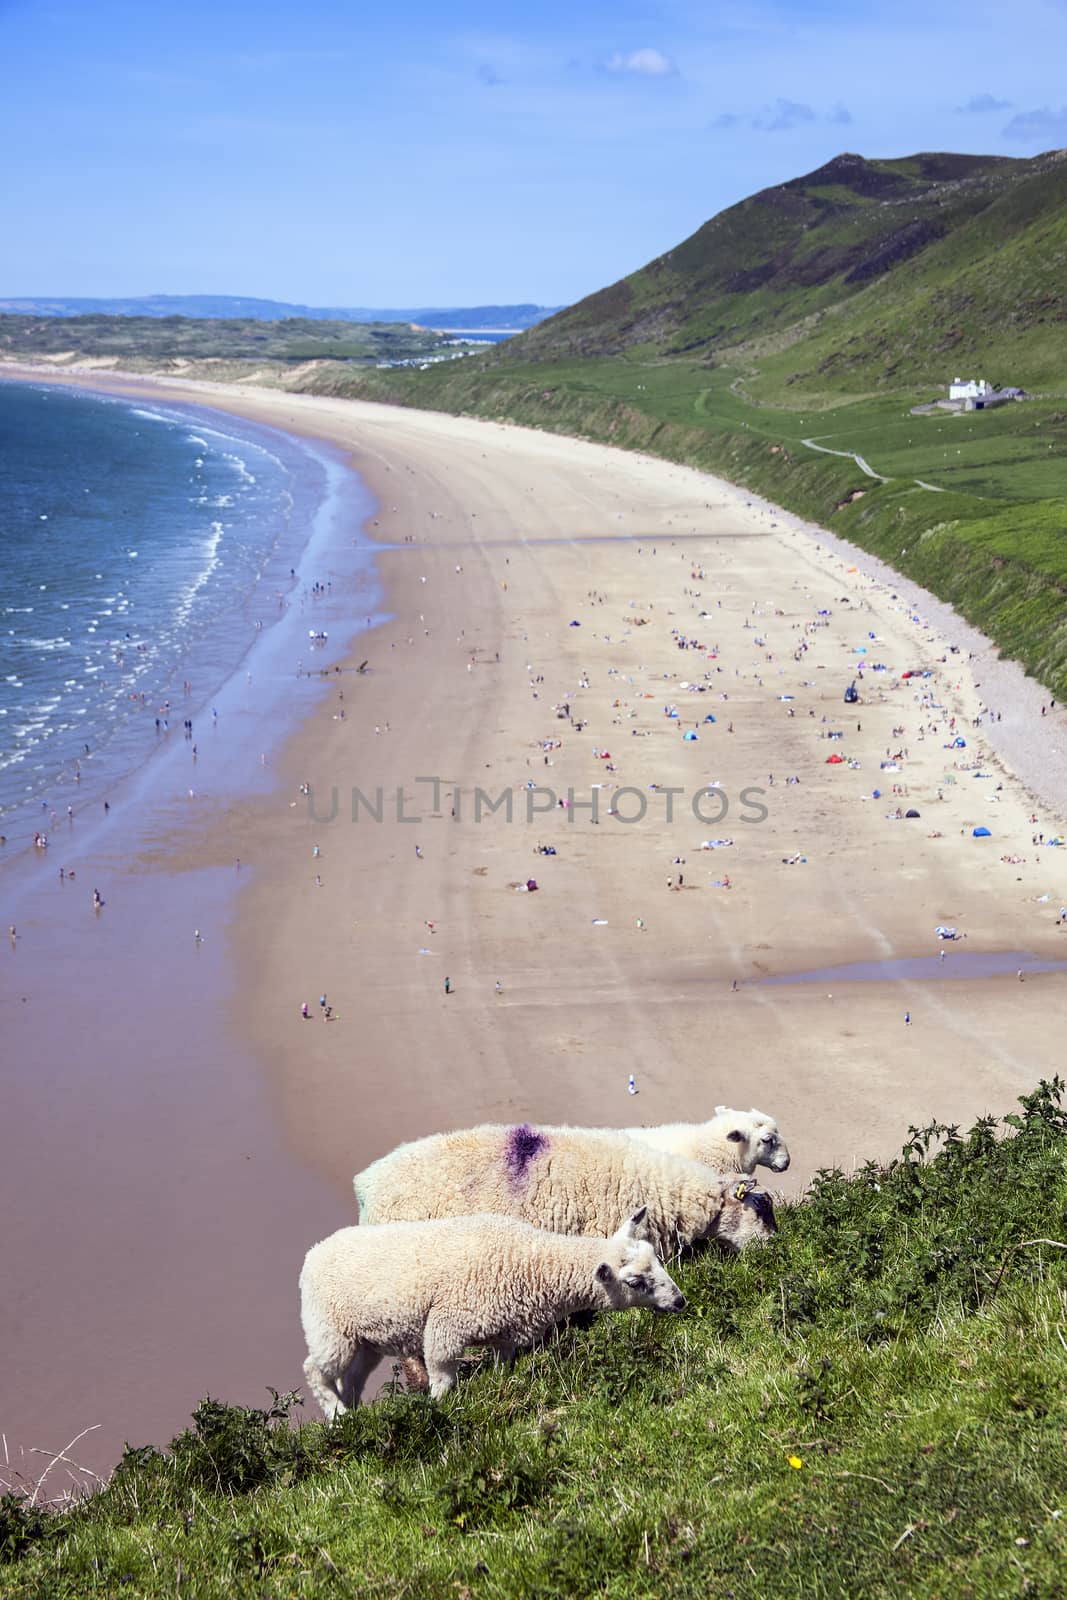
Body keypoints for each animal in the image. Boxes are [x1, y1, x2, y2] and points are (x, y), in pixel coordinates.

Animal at [300, 1203, 684, 1420]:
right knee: (315, 1371)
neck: (530, 1262)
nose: (680, 1301)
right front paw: (438, 1409)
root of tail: (314, 1252)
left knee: (351, 1379)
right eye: (635, 1282)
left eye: (656, 1256)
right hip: (329, 1328)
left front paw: (500, 1388)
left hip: (366, 1339)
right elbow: (442, 1375)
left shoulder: (505, 1333)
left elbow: (502, 1369)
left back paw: (354, 1414)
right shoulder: (446, 1324)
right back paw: (338, 1417)